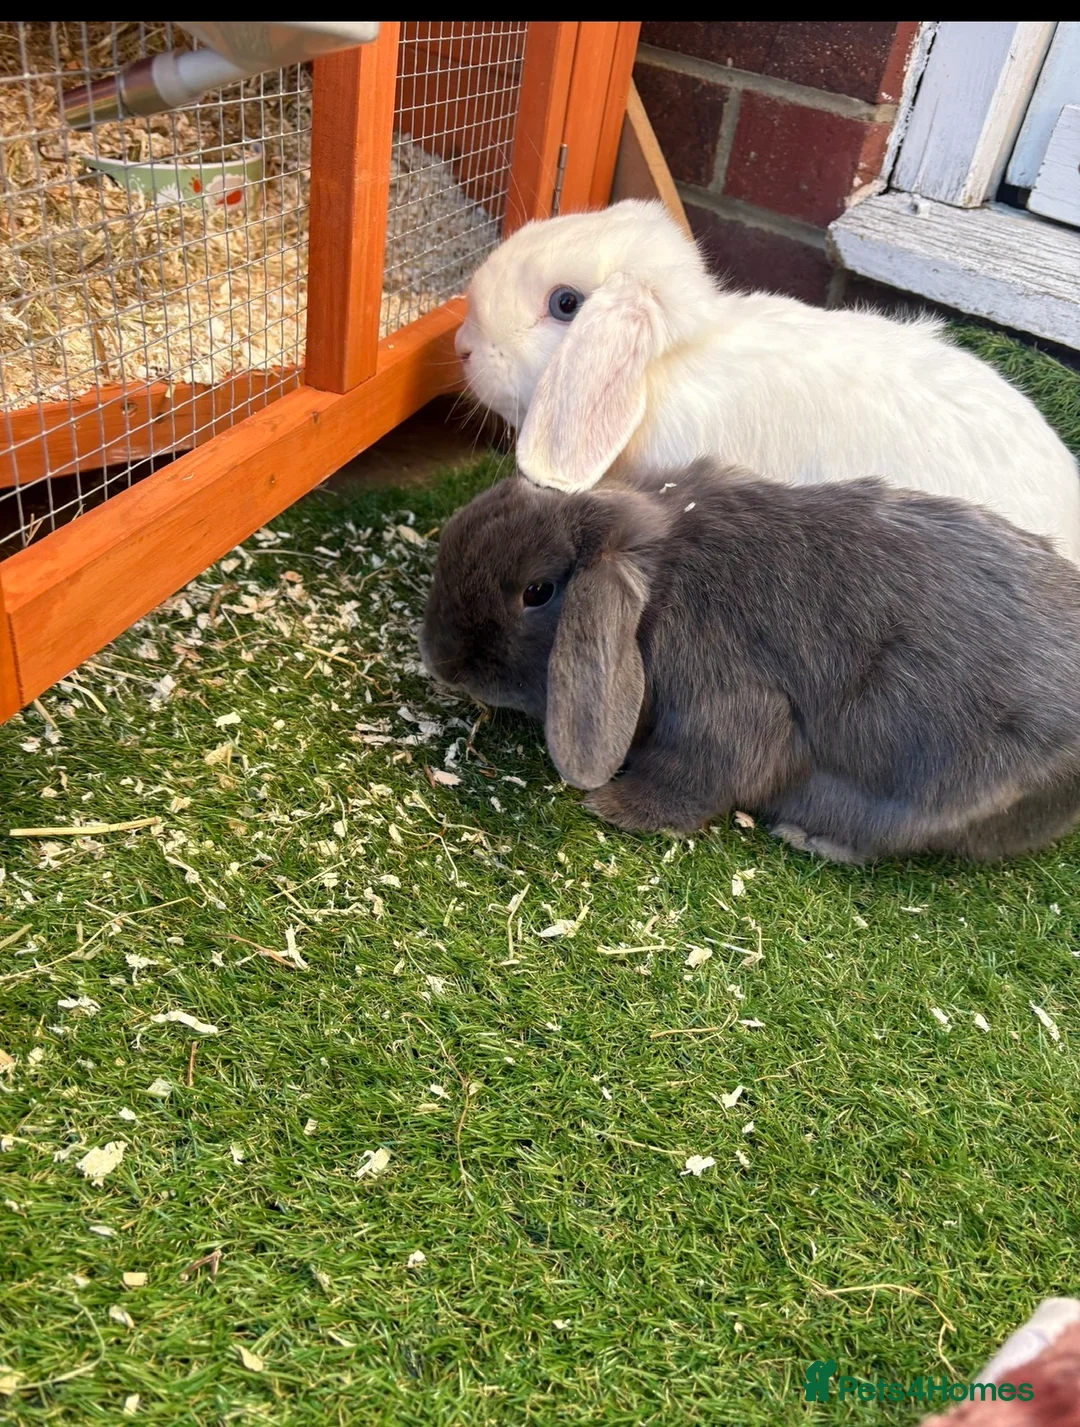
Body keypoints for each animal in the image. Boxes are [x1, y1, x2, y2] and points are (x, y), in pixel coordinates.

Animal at [420, 464, 1080, 862]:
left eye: (537, 592)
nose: (440, 659)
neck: (660, 585)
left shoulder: (730, 704)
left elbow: (702, 769)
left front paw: (614, 808)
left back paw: (809, 836)